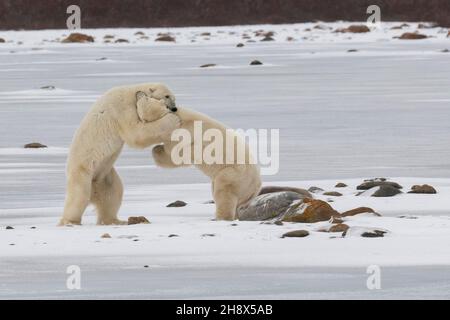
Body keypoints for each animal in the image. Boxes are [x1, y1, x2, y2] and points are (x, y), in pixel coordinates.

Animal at [59, 84, 181, 226]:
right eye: (167, 96)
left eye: (174, 98)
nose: (174, 108)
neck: (132, 92)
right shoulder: (122, 109)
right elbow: (136, 132)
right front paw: (173, 120)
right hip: (82, 170)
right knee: (79, 195)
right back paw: (70, 221)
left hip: (104, 176)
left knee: (113, 192)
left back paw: (115, 220)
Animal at [137, 92, 264, 220]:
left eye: (146, 98)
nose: (139, 93)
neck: (179, 118)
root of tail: (256, 186)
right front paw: (157, 149)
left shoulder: (185, 132)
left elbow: (177, 155)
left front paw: (157, 150)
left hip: (233, 174)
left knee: (224, 193)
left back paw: (220, 217)